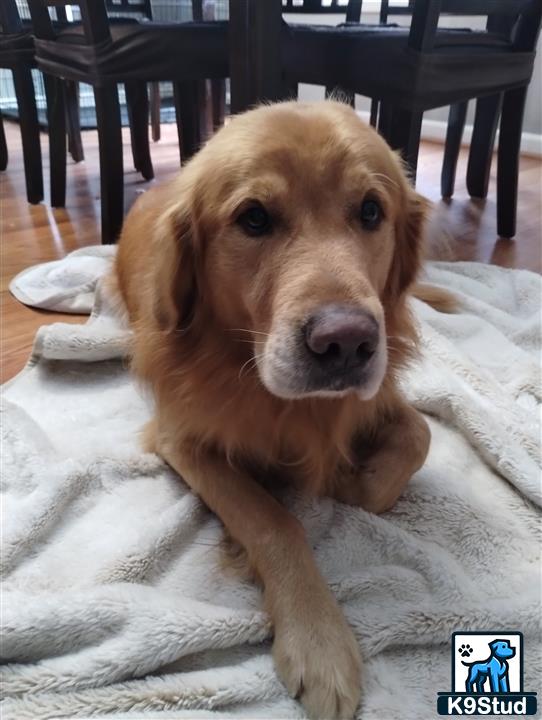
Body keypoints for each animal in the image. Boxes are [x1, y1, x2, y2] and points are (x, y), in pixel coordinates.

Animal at [115, 101, 434, 720]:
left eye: (370, 210)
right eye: (254, 218)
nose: (346, 343)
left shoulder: (374, 399)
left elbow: (418, 436)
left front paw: (355, 479)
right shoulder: (182, 438)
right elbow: (274, 520)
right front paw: (319, 640)